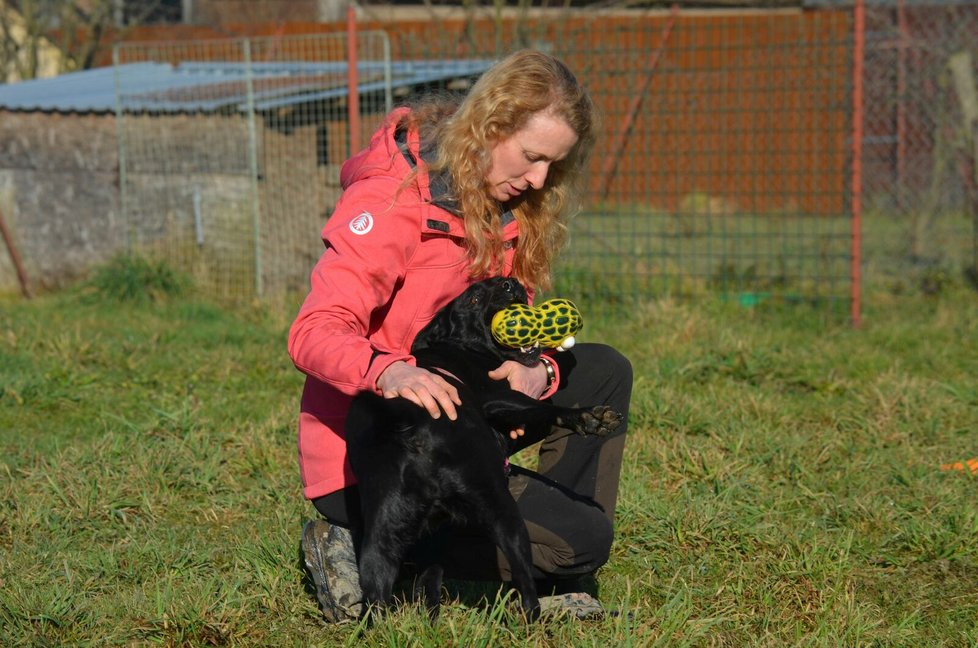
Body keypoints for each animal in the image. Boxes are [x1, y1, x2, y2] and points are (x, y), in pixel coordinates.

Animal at [346, 276, 616, 620]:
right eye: (474, 299)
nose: (509, 282)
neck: (461, 347)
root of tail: (412, 428)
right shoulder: (501, 397)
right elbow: (546, 409)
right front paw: (589, 418)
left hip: (383, 533)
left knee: (380, 596)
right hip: (500, 507)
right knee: (525, 584)